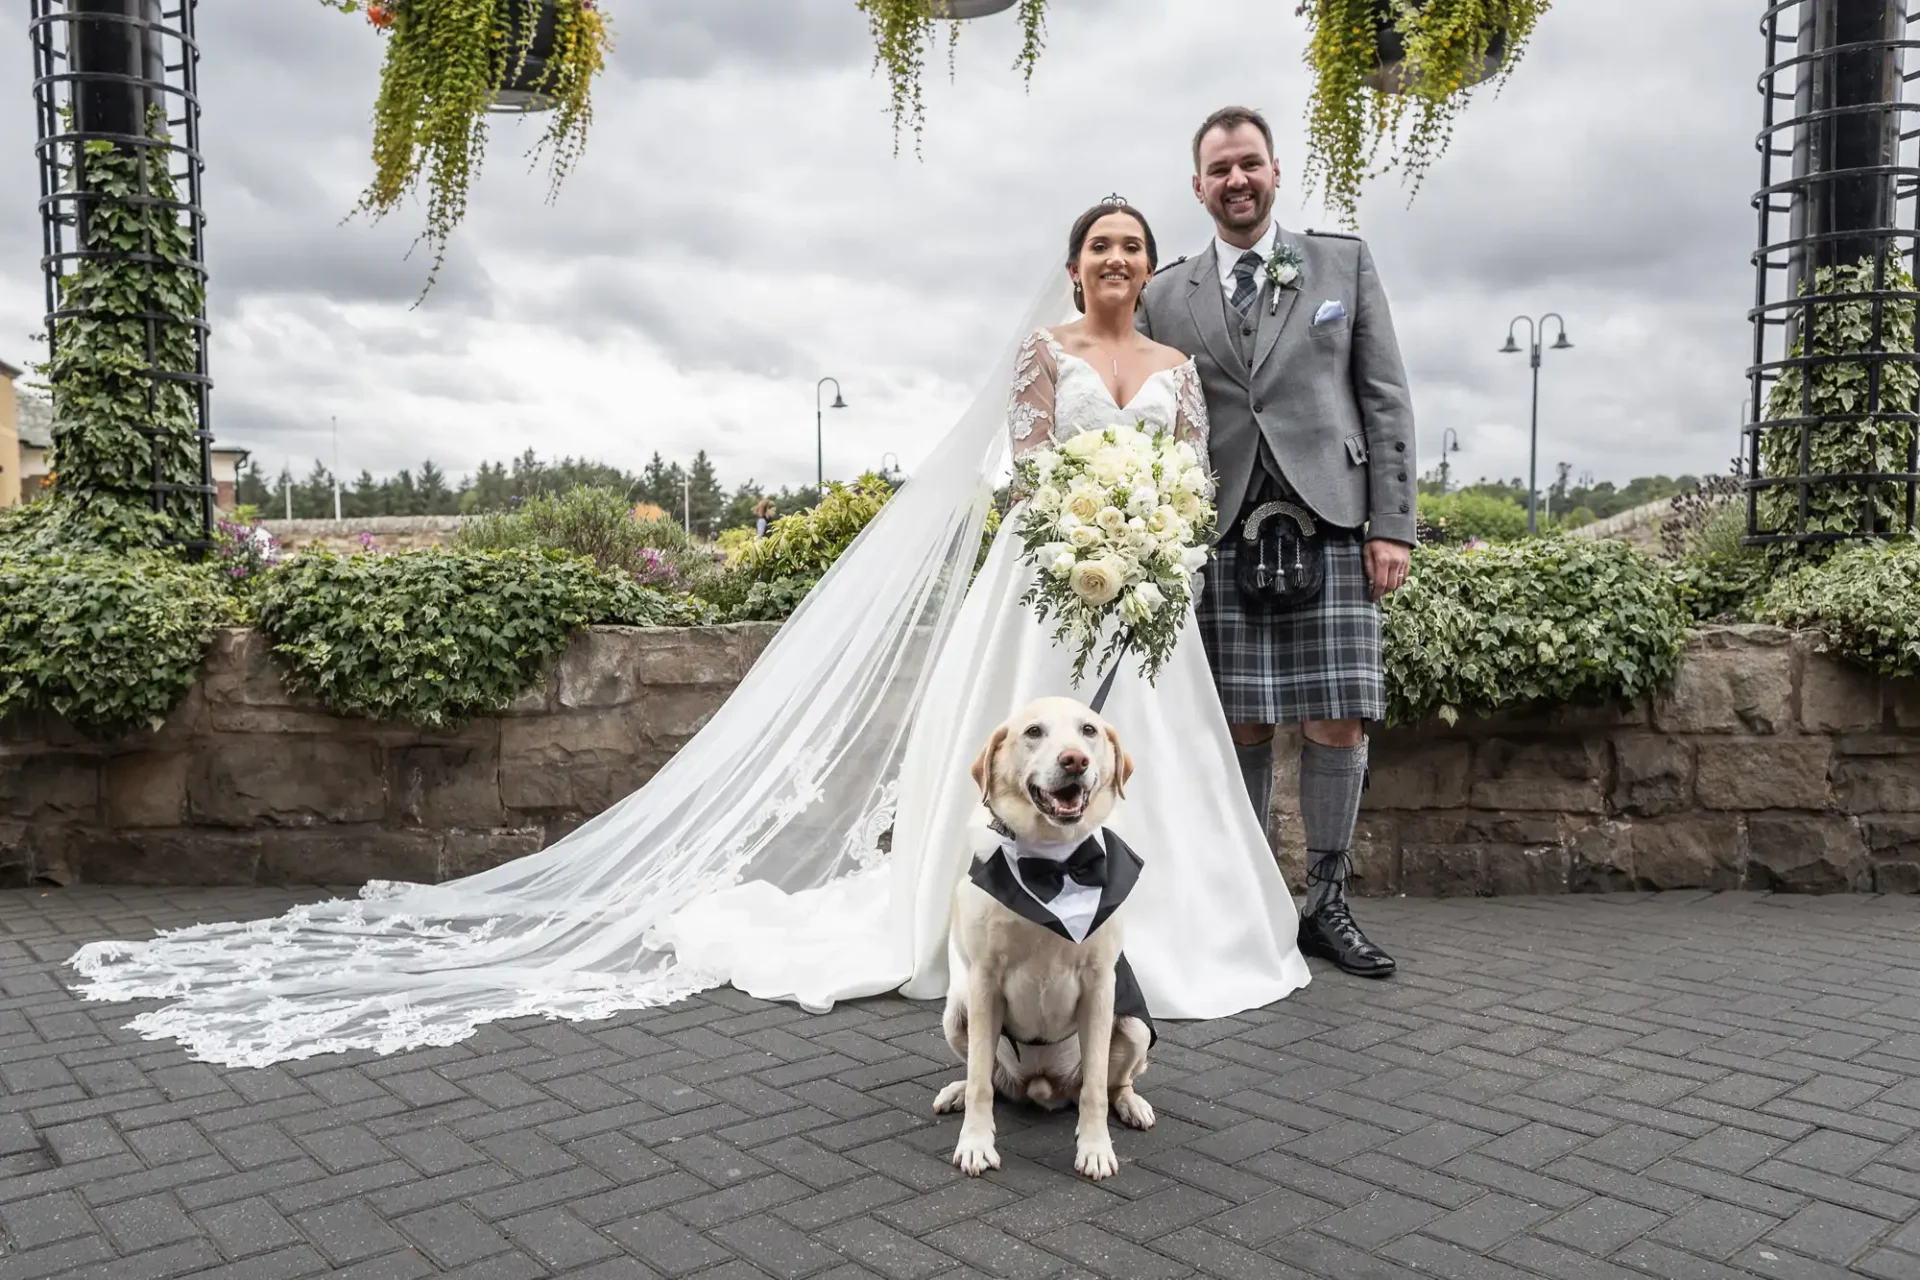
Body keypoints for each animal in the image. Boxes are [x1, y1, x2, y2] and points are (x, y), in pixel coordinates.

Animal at [933, 702, 1152, 1182]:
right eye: (1034, 732)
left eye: (1089, 730)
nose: (1075, 760)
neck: (1054, 862)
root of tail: (1042, 1086)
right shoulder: (983, 982)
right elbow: (980, 1083)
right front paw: (975, 1143)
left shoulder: (1100, 984)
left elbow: (1095, 1090)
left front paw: (1095, 1148)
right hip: (956, 1011)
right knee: (986, 1076)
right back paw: (956, 1091)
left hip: (1134, 1024)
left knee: (1115, 1081)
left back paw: (1131, 1104)